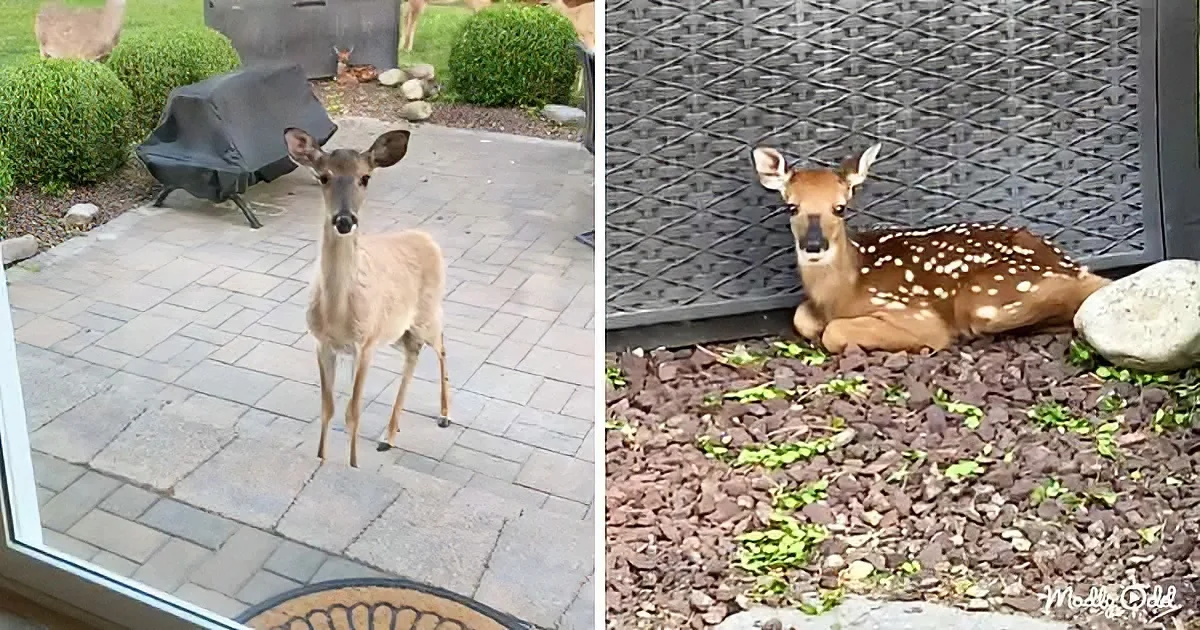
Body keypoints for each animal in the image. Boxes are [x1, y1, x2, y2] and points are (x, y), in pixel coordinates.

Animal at [282, 126, 451, 469]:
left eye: (365, 178)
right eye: (323, 177)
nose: (344, 220)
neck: (337, 314)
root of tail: (427, 238)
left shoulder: (366, 343)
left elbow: (353, 412)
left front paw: (353, 464)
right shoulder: (323, 343)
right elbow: (328, 408)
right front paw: (321, 457)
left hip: (426, 312)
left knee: (441, 345)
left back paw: (443, 415)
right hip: (399, 329)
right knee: (413, 354)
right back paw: (389, 436)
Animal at [750, 142, 1112, 354]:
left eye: (840, 208)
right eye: (792, 207)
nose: (814, 245)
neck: (844, 292)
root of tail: (1071, 264)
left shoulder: (914, 312)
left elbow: (833, 332)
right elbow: (801, 316)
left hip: (985, 299)